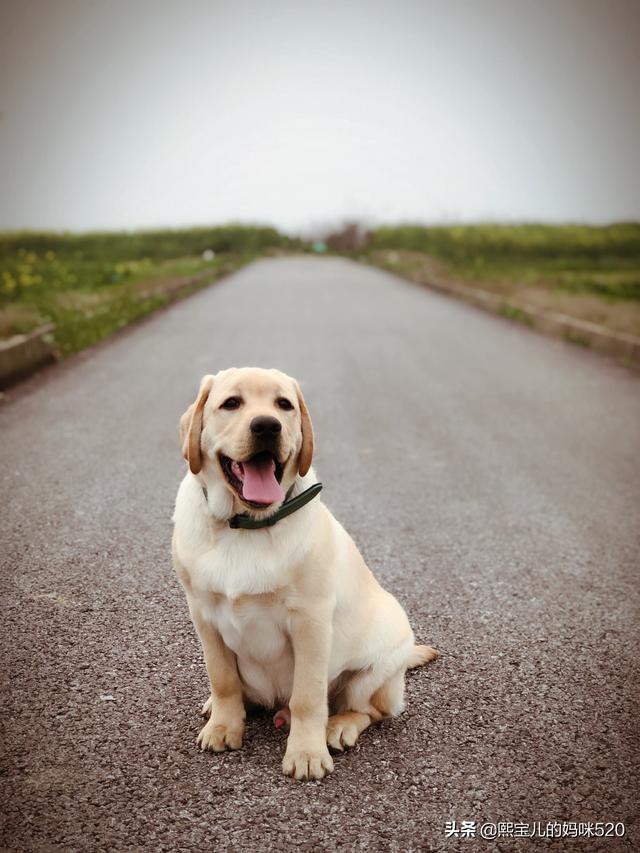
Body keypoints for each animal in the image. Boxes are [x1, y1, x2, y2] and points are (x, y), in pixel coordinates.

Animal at [172, 366, 438, 780]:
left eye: (284, 405)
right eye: (231, 403)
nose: (268, 426)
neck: (245, 526)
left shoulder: (310, 622)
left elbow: (308, 698)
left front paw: (306, 753)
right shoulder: (203, 615)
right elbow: (223, 679)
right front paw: (223, 726)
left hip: (376, 669)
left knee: (369, 710)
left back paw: (339, 726)